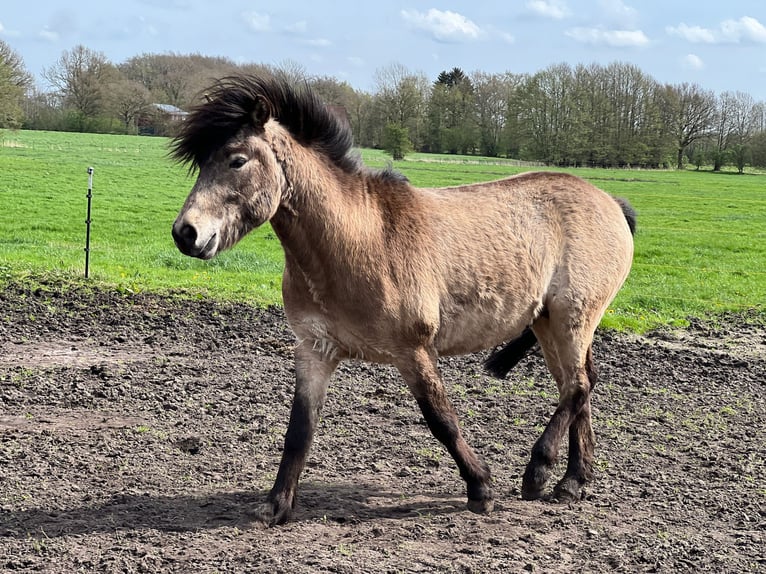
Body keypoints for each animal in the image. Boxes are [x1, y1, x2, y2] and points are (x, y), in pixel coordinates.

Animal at [170, 74, 636, 526]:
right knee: (580, 387)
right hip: (548, 323)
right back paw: (573, 482)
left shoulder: (413, 350)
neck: (358, 240)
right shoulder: (314, 350)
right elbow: (300, 429)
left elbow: (441, 420)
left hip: (571, 318)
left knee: (576, 387)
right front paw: (275, 506)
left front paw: (480, 489)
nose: (185, 233)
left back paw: (539, 473)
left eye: (237, 159)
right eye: (202, 163)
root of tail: (611, 202)